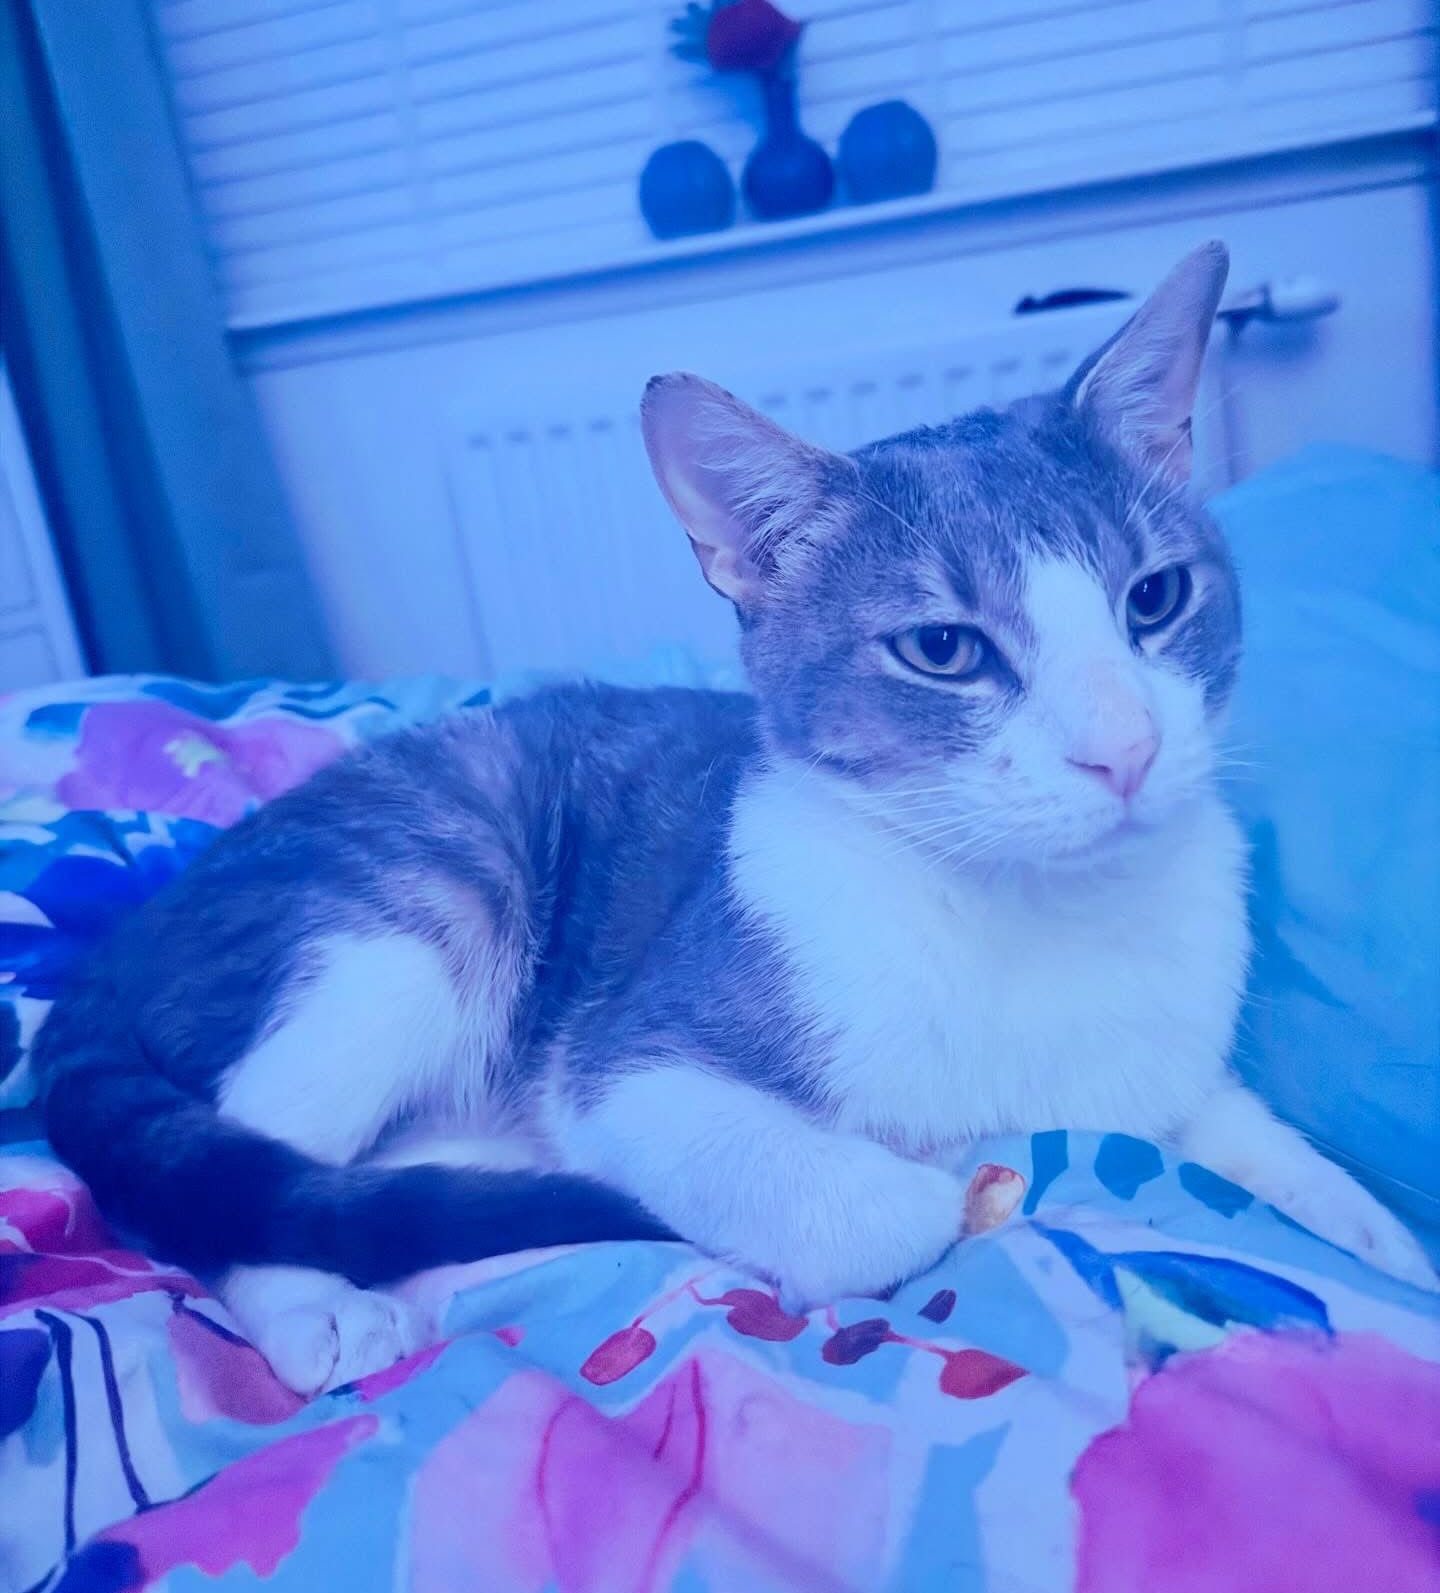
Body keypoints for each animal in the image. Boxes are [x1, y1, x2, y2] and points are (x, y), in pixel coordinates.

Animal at [33, 242, 1435, 1396]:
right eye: (944, 649)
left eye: (1155, 598)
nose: (1127, 749)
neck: (1043, 916)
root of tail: (129, 926)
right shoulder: (626, 1064)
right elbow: (866, 1200)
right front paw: (941, 1183)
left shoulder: (1174, 1070)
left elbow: (1273, 1160)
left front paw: (1383, 1253)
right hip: (424, 899)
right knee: (230, 1175)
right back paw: (315, 1301)